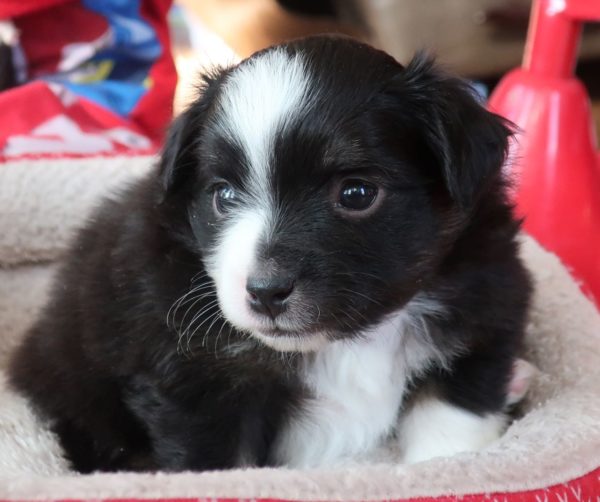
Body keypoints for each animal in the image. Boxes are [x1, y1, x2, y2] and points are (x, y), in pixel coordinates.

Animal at [10, 35, 528, 470]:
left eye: (357, 193)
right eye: (223, 195)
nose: (265, 291)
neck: (347, 343)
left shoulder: (482, 316)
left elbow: (450, 436)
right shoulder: (201, 387)